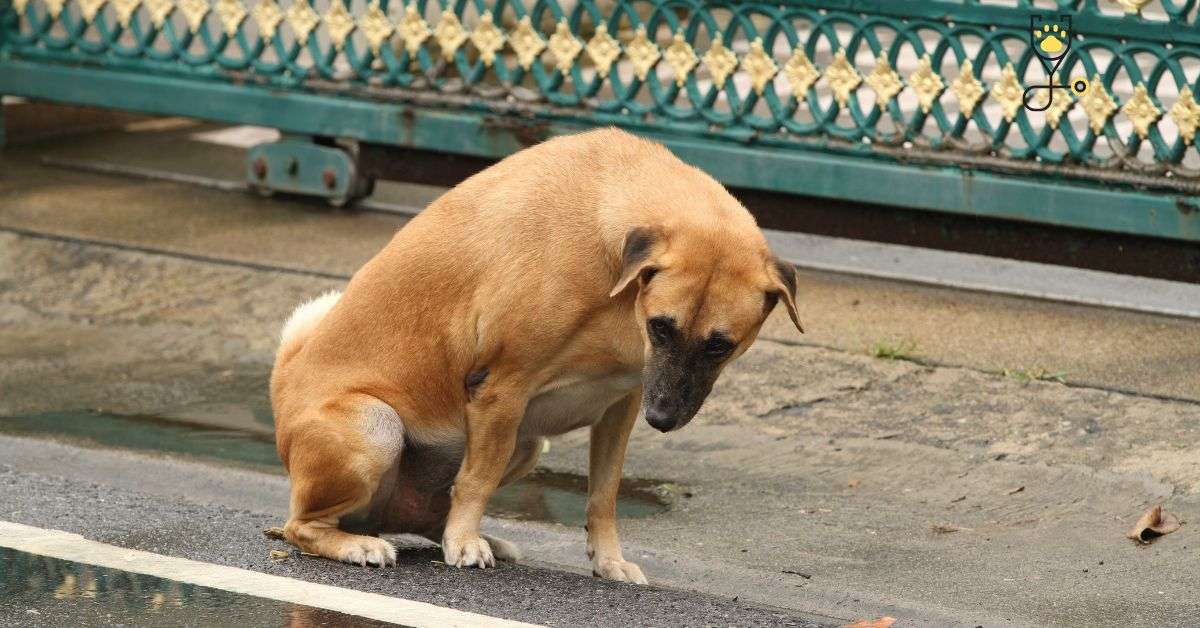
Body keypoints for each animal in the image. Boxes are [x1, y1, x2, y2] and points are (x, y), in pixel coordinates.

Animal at [271, 129, 796, 585]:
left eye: (719, 345)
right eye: (661, 327)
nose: (663, 419)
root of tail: (283, 394)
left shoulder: (621, 407)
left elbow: (603, 495)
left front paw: (608, 561)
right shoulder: (503, 390)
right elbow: (477, 480)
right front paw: (465, 544)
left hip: (526, 444)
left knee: (425, 514)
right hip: (377, 426)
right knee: (302, 527)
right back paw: (360, 545)